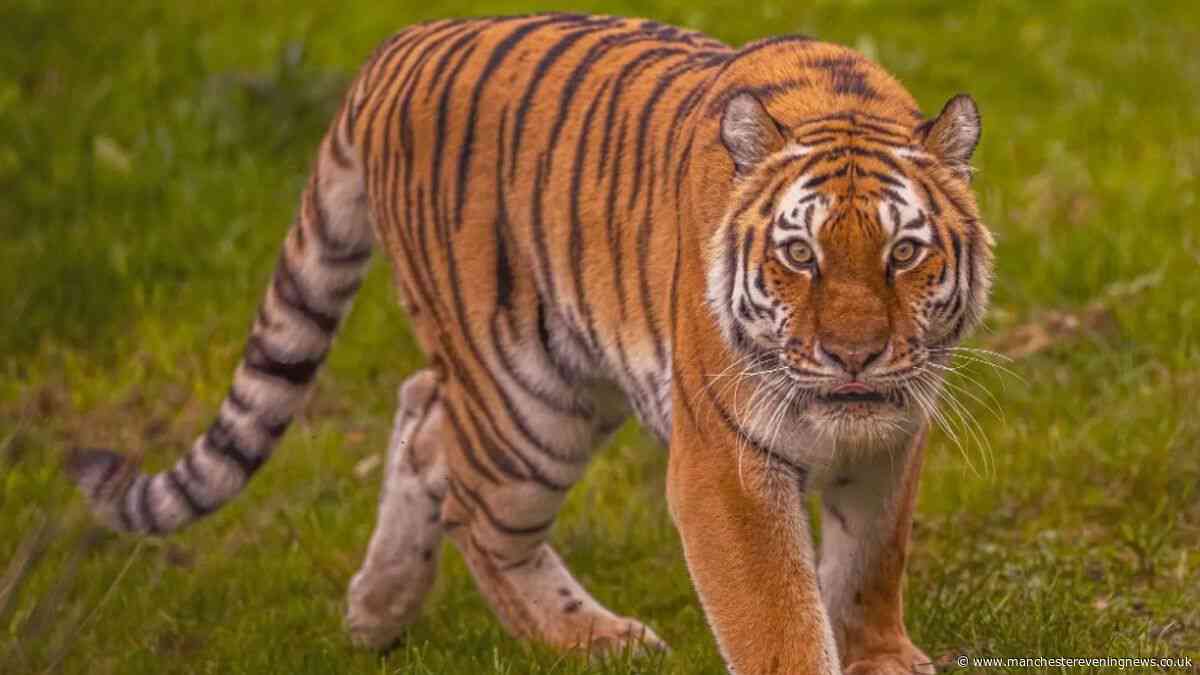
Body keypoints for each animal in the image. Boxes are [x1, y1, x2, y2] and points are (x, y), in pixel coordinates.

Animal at [68, 12, 992, 674]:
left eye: (902, 253)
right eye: (799, 255)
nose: (853, 357)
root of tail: (395, 48)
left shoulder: (892, 435)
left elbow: (870, 559)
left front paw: (883, 658)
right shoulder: (725, 464)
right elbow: (776, 614)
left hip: (569, 376)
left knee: (423, 413)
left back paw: (377, 611)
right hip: (526, 401)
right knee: (476, 507)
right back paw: (590, 636)